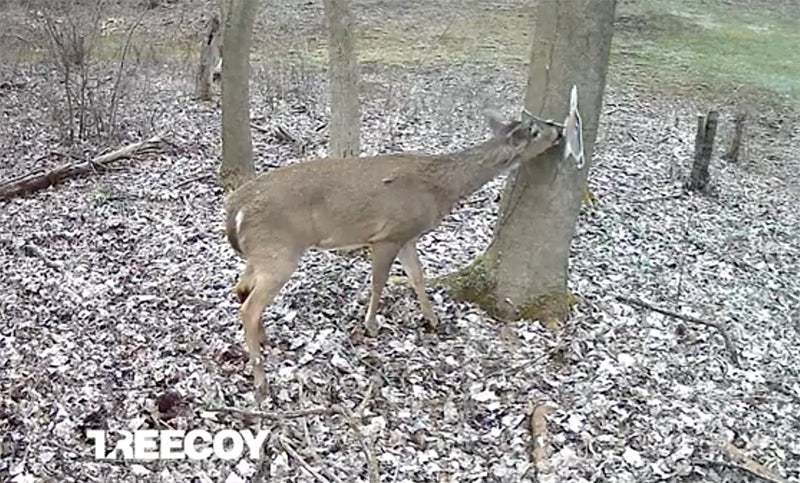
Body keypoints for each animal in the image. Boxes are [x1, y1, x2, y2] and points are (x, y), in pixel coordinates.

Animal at [225, 104, 585, 395]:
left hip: (263, 253)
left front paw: (433, 320)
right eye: (536, 129)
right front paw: (371, 326)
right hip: (280, 252)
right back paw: (261, 379)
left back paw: (265, 339)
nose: (559, 130)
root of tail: (235, 208)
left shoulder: (409, 236)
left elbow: (418, 276)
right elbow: (379, 283)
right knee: (249, 306)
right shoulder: (388, 235)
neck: (440, 188)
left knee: (241, 288)